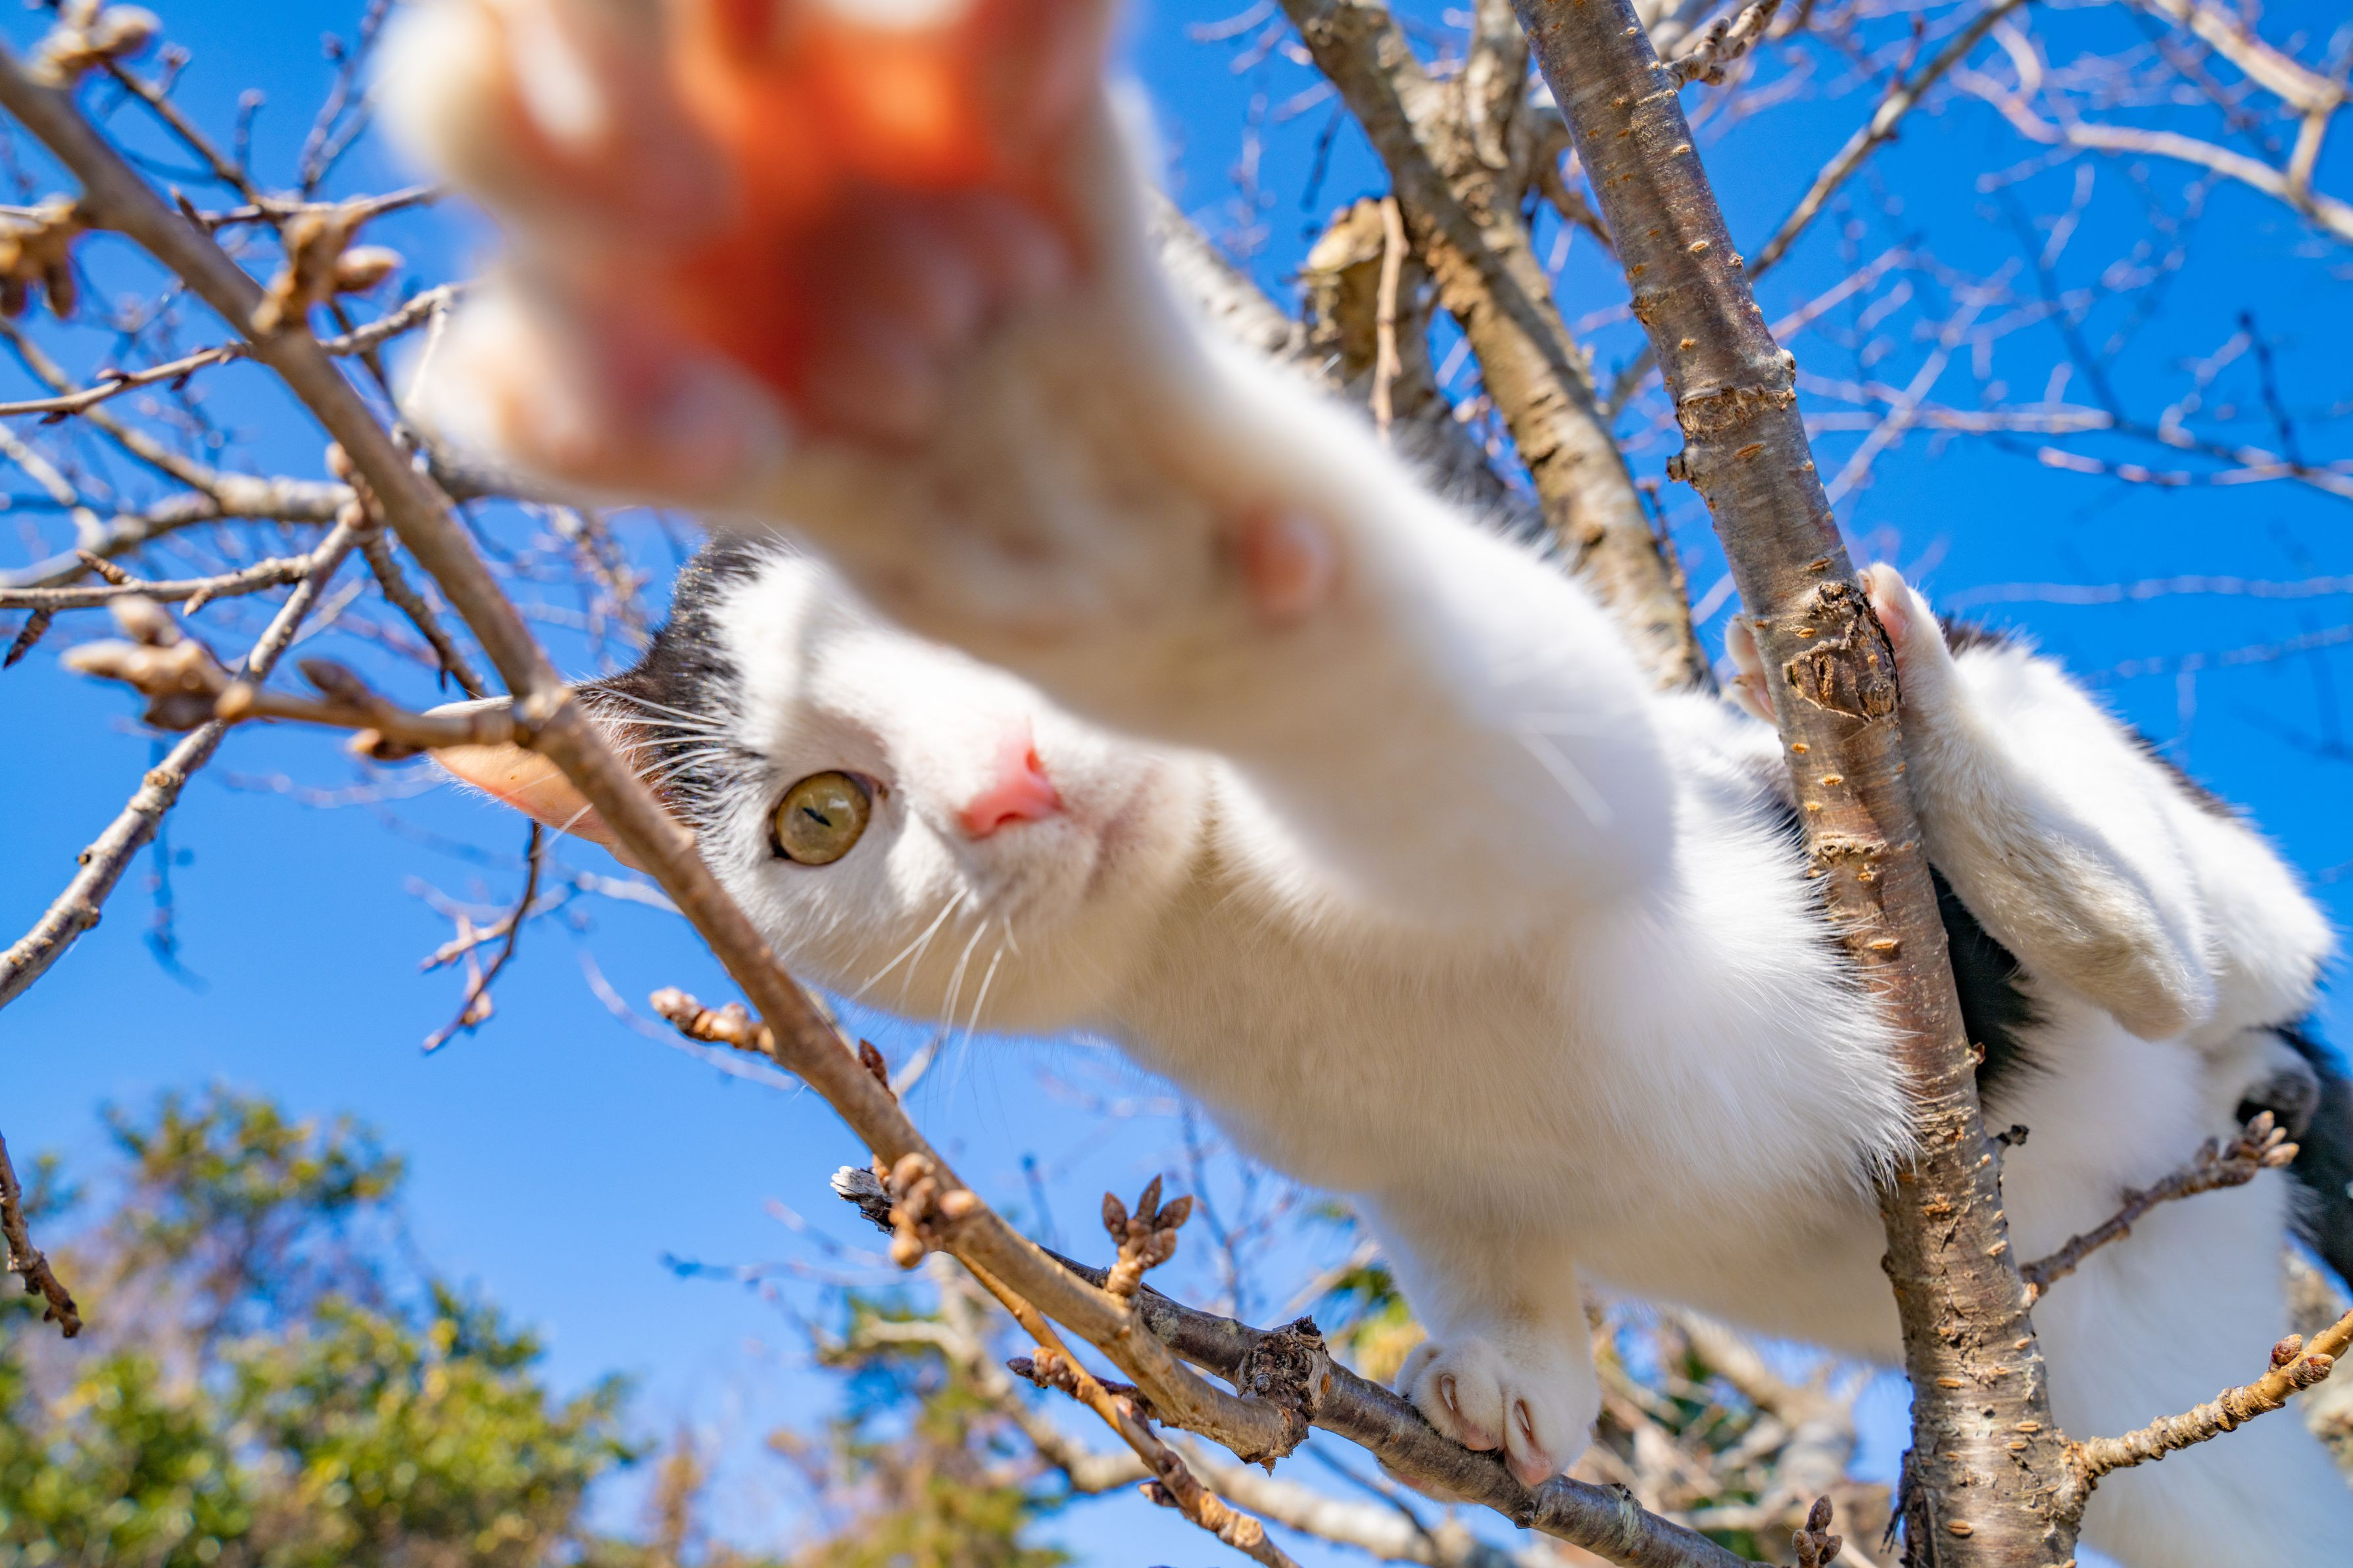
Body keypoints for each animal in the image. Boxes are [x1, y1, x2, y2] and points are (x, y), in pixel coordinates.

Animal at [377, 2, 2353, 1561]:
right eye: (820, 819)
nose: (1008, 783)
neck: (1235, 955)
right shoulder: (1402, 1168)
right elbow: (1477, 1238)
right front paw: (1514, 1372)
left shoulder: (1583, 779)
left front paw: (1015, 427)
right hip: (2177, 1444)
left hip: (2103, 855)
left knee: (2228, 930)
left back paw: (2006, 810)